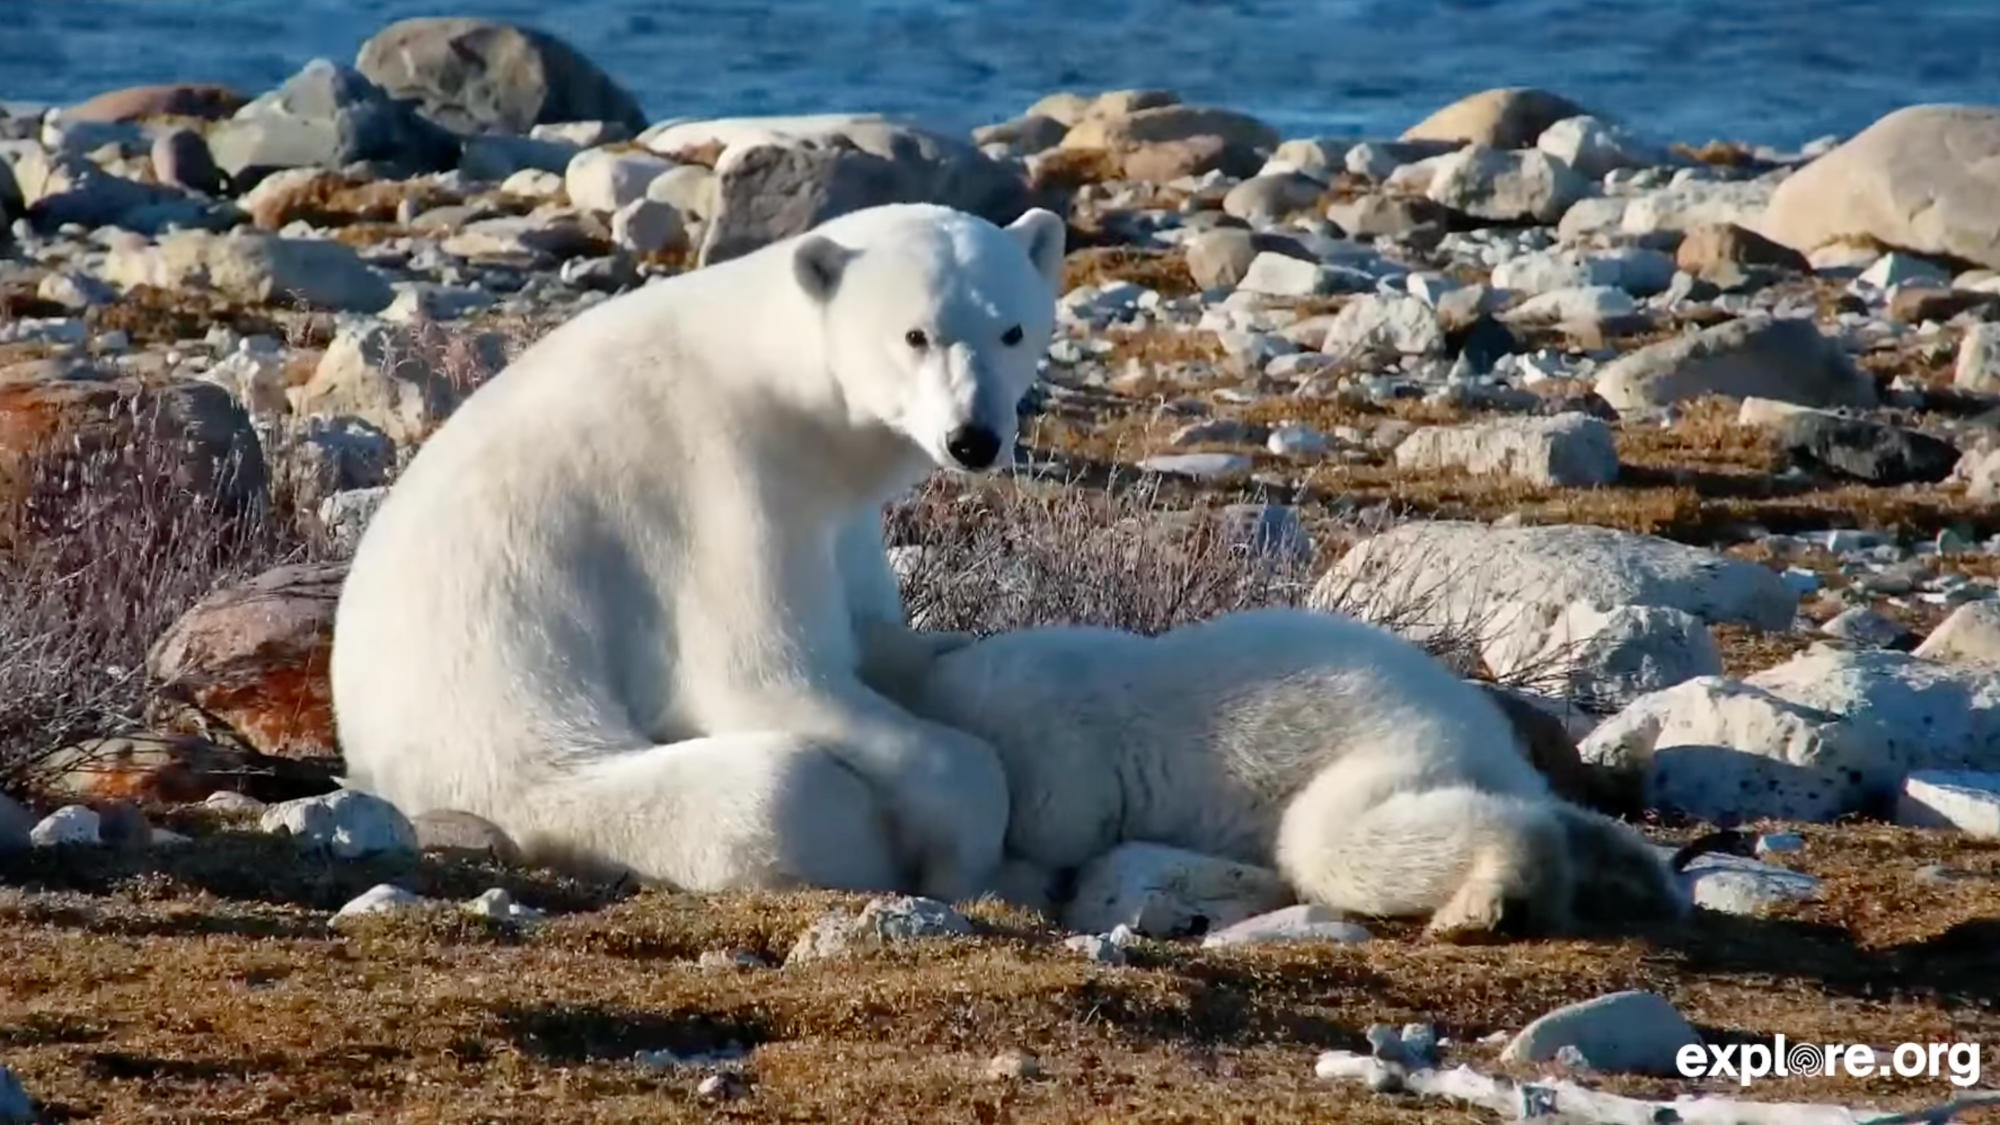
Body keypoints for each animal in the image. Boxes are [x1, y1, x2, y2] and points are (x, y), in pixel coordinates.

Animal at [330, 202, 1067, 901]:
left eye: (1011, 331)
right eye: (916, 334)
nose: (973, 437)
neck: (774, 380)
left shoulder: (837, 517)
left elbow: (881, 636)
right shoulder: (723, 486)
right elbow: (760, 676)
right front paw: (967, 854)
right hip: (526, 768)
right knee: (783, 788)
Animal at [865, 607, 1685, 940]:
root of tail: (1479, 729)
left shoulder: (1045, 739)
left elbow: (1058, 823)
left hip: (1388, 749)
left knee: (1332, 839)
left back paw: (1482, 905)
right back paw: (1628, 872)